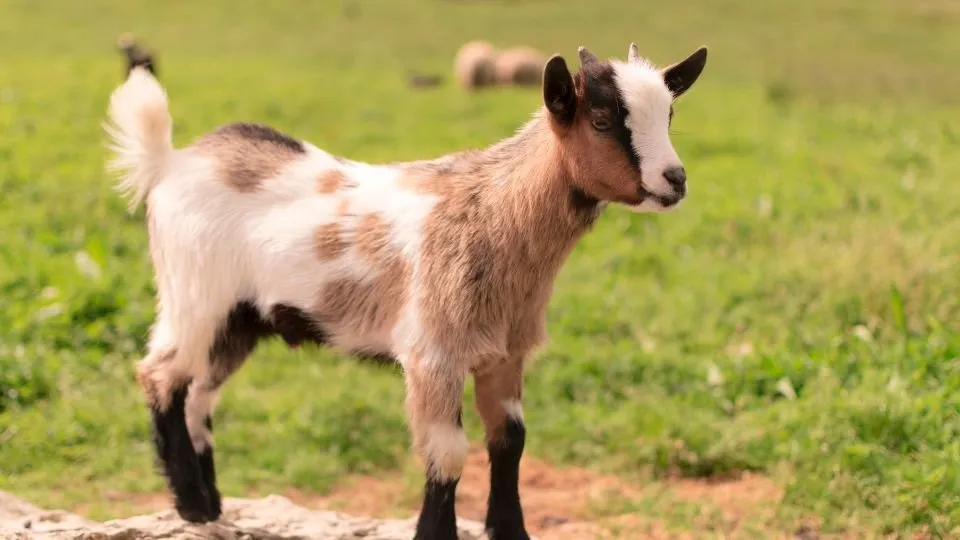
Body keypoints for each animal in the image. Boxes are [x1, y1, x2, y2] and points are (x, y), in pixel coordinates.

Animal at [103, 41, 708, 540]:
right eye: (602, 119)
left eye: (670, 113)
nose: (675, 180)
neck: (493, 210)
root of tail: (170, 163)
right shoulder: (433, 354)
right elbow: (448, 452)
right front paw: (434, 534)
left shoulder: (504, 353)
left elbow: (509, 440)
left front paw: (510, 531)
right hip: (193, 294)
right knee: (161, 376)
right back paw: (190, 506)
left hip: (239, 320)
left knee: (199, 395)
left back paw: (211, 503)